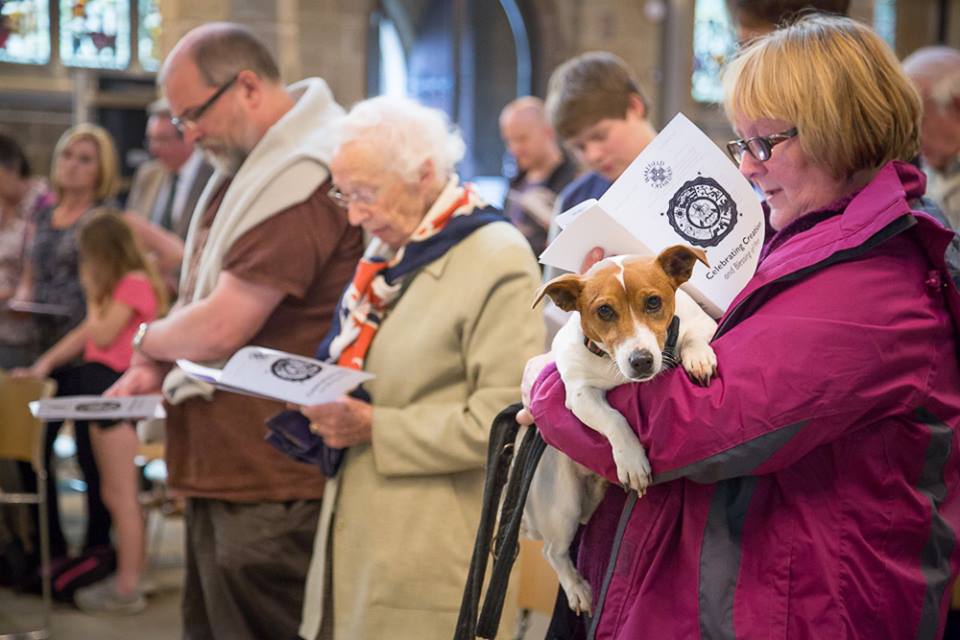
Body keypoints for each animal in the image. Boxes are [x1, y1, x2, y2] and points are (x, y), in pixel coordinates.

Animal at [520, 245, 716, 616]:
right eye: (604, 311)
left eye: (653, 302)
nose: (641, 361)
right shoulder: (579, 394)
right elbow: (614, 419)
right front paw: (631, 461)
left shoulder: (700, 324)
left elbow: (695, 336)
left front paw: (698, 355)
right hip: (563, 504)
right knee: (553, 552)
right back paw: (577, 589)